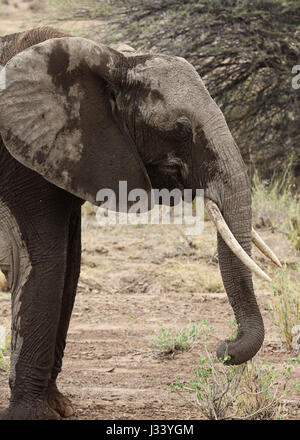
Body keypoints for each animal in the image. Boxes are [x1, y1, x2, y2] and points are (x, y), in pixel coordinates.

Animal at [0, 25, 282, 418]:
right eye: (182, 129)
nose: (223, 347)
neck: (112, 59)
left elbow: (70, 267)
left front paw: (59, 406)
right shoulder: (19, 162)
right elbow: (45, 264)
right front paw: (33, 415)